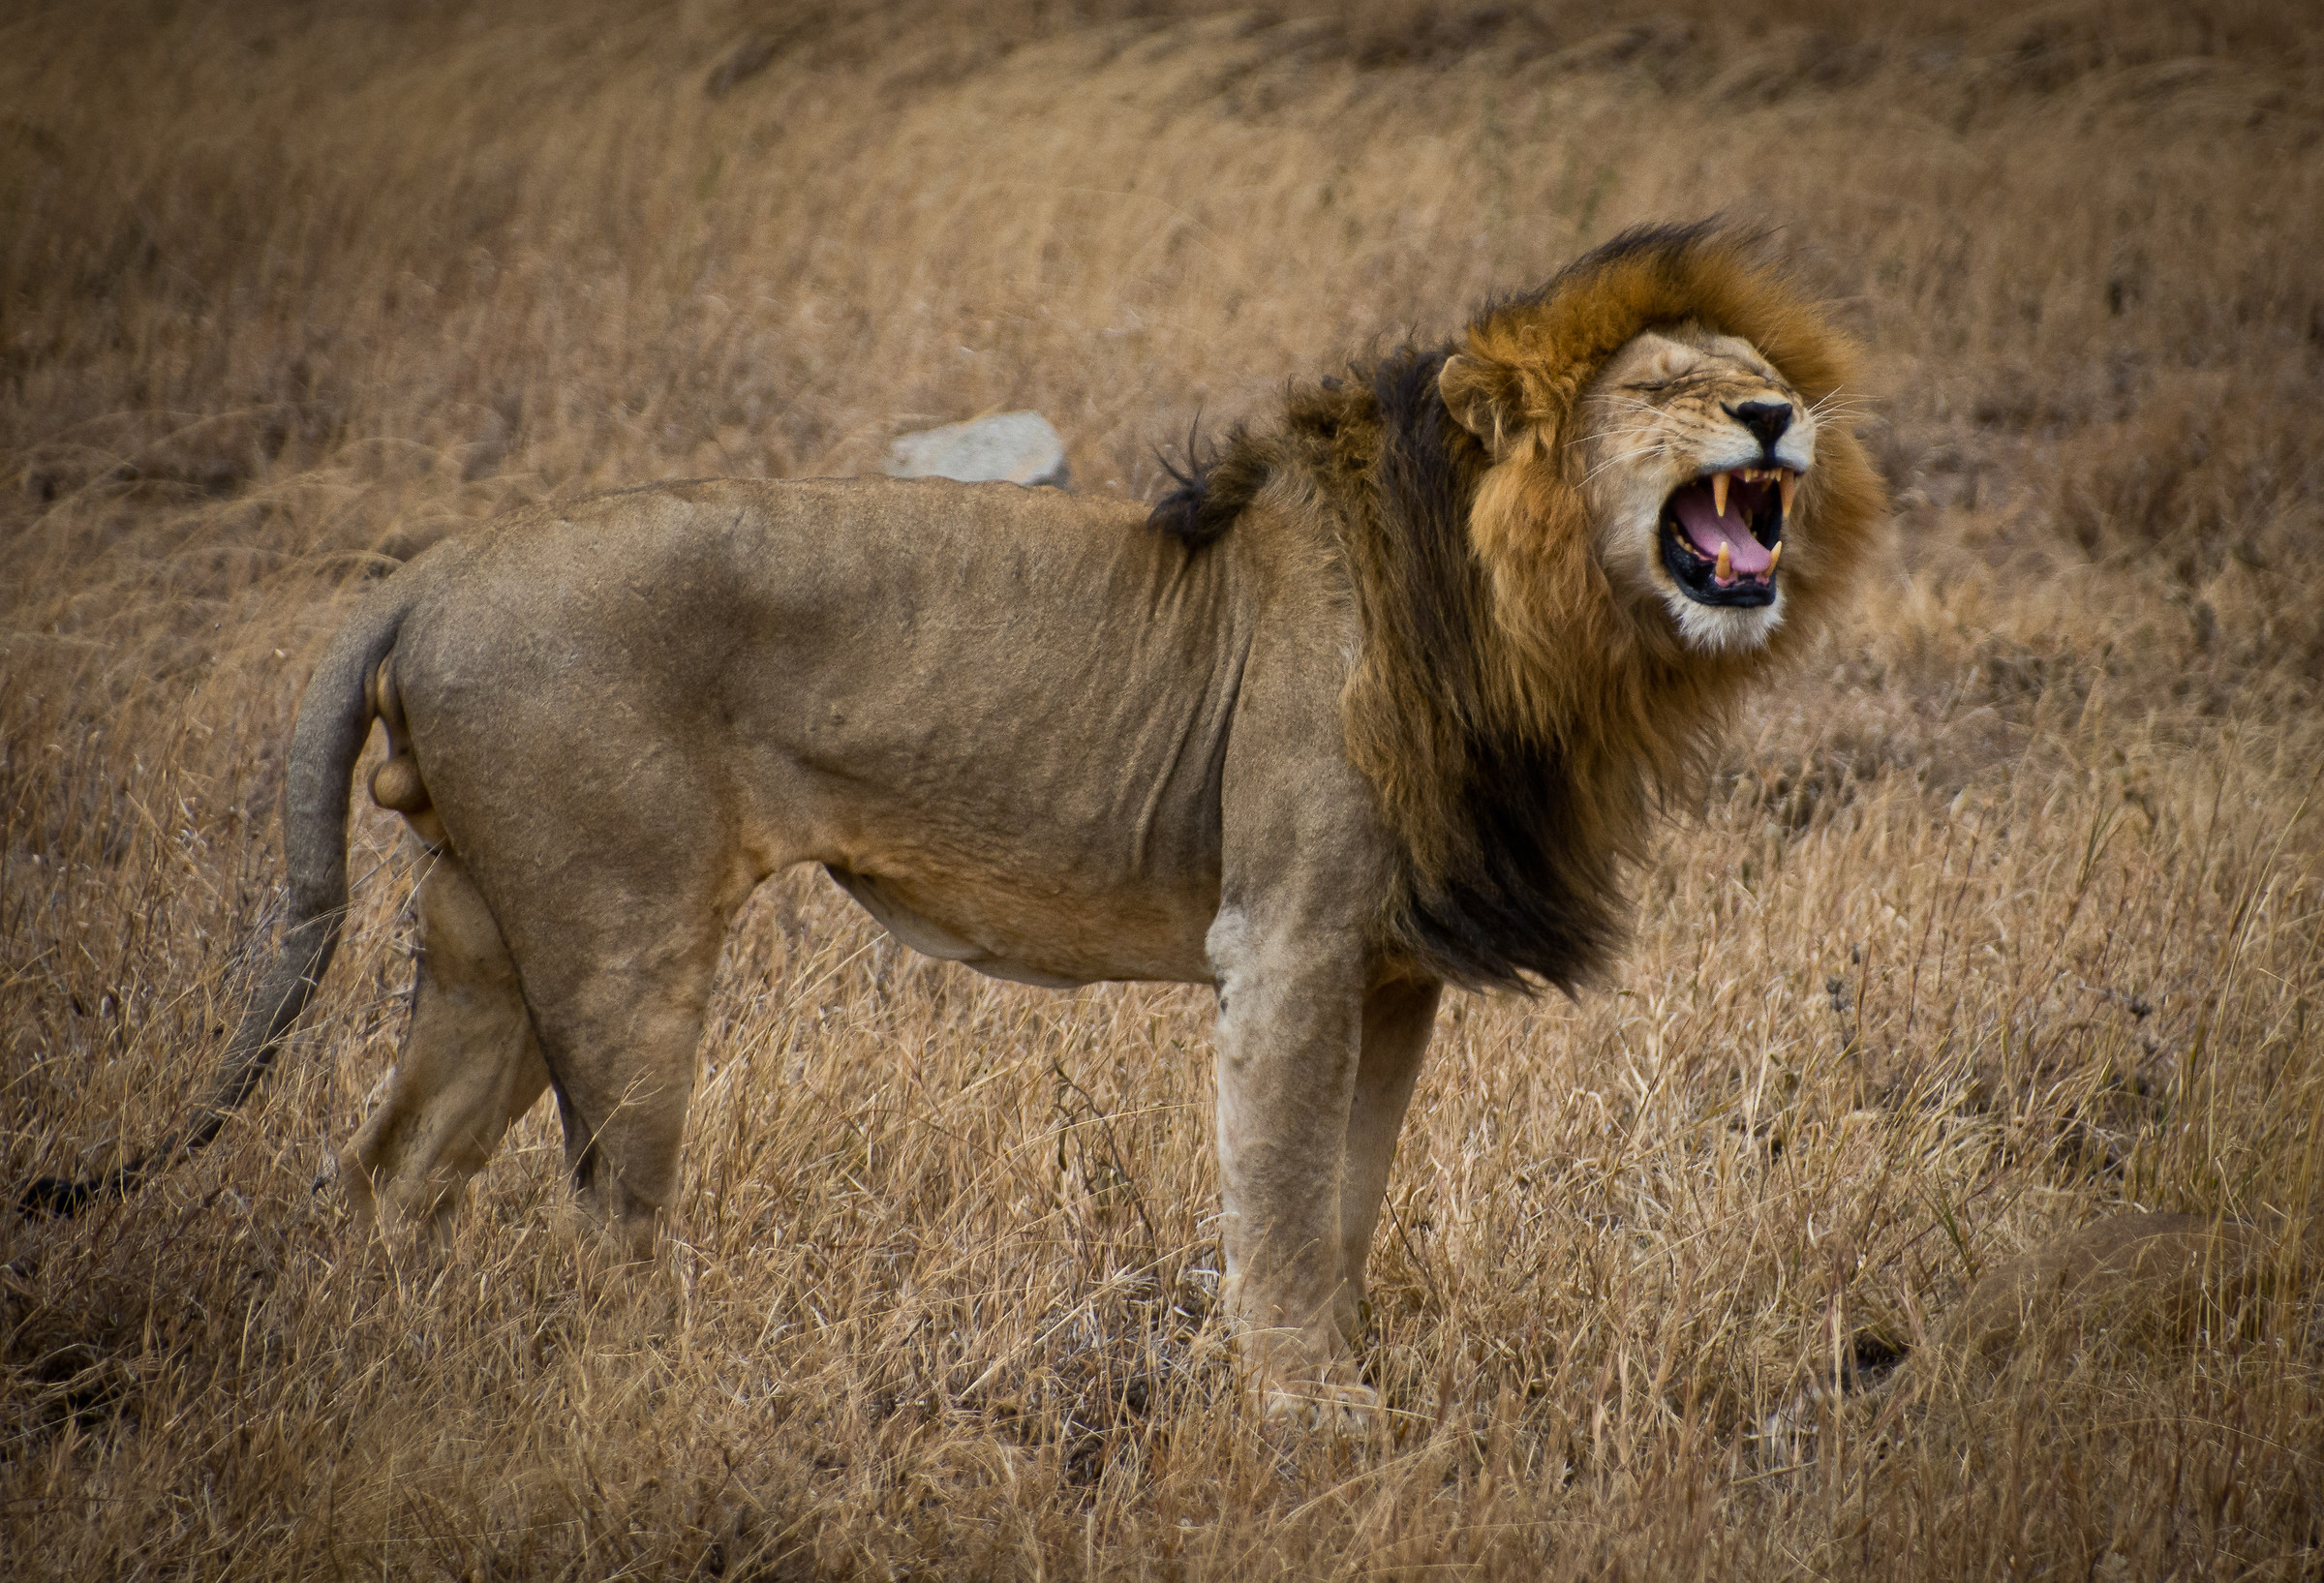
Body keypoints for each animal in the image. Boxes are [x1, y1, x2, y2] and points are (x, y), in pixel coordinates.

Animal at [26, 222, 1883, 1416]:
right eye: (1673, 391)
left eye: (1755, 374)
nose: (1778, 416)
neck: (1538, 621)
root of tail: (435, 564)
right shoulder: (1285, 943)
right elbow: (1282, 1199)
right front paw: (1304, 1413)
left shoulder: (1390, 970)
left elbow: (1347, 1196)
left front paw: (1348, 1381)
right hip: (621, 941)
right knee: (604, 1218)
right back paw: (656, 1392)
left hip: (486, 936)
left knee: (390, 1172)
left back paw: (394, 1368)